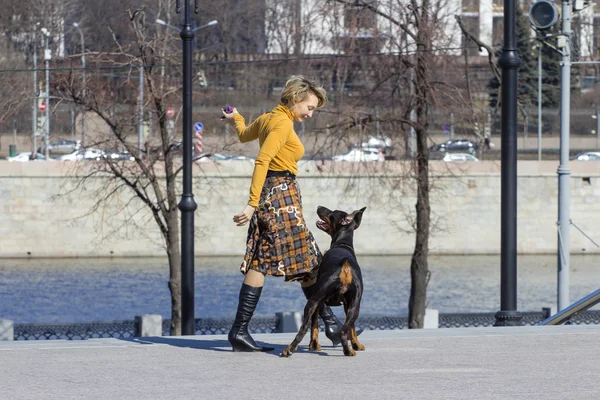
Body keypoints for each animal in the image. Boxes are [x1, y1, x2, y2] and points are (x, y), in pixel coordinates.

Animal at [280, 206, 366, 356]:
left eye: (332, 213)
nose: (319, 207)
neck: (342, 244)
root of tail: (345, 266)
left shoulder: (318, 301)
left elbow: (314, 325)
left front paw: (314, 345)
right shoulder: (348, 303)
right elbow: (353, 328)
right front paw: (356, 345)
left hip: (313, 300)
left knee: (304, 328)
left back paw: (289, 349)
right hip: (355, 306)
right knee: (344, 330)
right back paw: (348, 350)